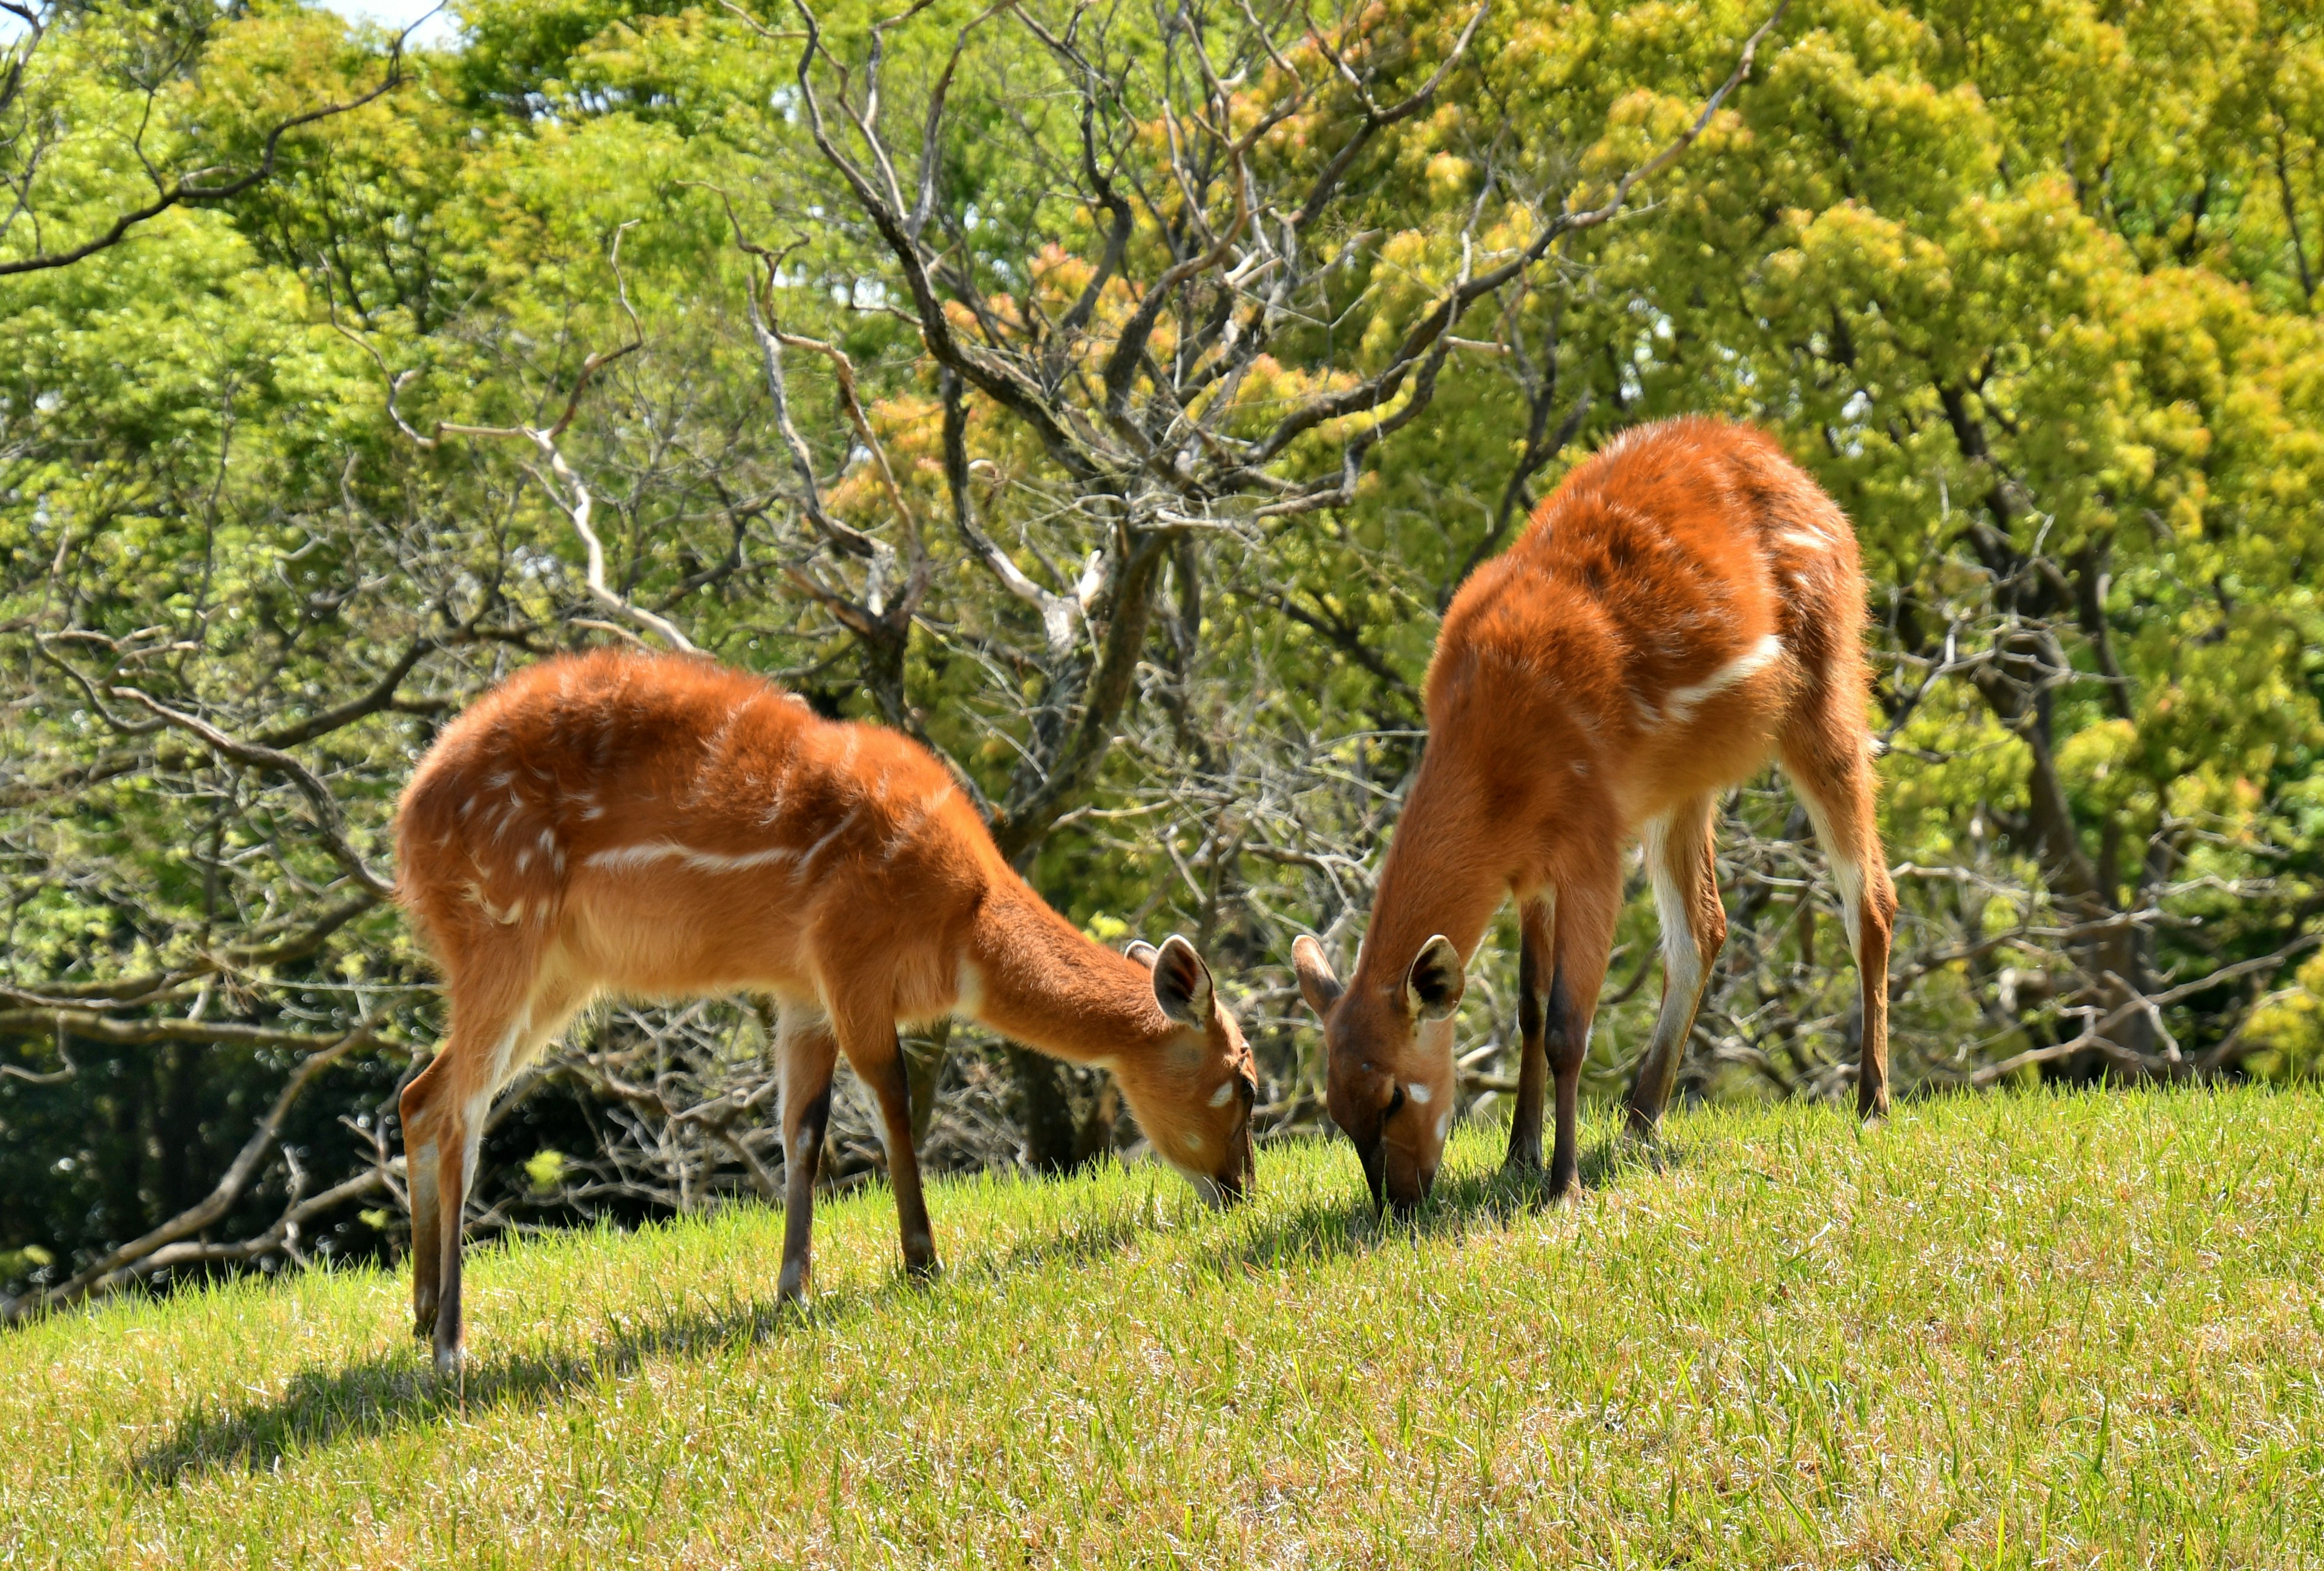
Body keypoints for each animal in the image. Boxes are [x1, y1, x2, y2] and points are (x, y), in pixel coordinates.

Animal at [395, 646, 1255, 1366]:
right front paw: (921, 1262)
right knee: (462, 1112)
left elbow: (803, 1128)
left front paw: (792, 1292)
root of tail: (406, 819)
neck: (968, 921)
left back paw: (420, 1313)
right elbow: (893, 1102)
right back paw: (451, 1347)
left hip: (561, 973)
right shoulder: (851, 959)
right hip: (505, 930)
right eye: (1244, 1082)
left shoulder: (801, 989)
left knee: (421, 1093)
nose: (1241, 1191)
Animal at [1301, 418, 1896, 1217]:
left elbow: (1566, 1025)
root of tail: (1806, 482)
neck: (1494, 742)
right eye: (1336, 1110)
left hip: (1824, 698)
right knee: (1705, 927)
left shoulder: (1593, 843)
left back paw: (1873, 1102)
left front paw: (1563, 1185)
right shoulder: (1531, 872)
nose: (1401, 1200)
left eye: (1395, 1094)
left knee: (1870, 898)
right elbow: (1527, 1004)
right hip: (1682, 792)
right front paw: (1519, 1155)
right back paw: (1641, 1120)